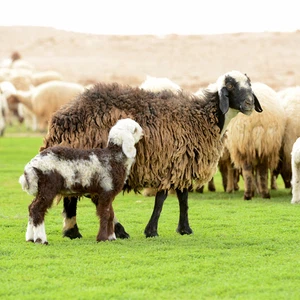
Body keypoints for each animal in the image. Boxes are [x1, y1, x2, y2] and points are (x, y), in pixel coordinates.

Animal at [40, 70, 262, 239]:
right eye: (230, 86)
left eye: (249, 84)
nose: (249, 103)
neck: (204, 117)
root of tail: (61, 119)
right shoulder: (171, 162)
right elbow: (161, 199)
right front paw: (152, 230)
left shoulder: (182, 162)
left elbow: (183, 198)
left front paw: (184, 229)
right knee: (91, 196)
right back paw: (116, 230)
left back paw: (73, 232)